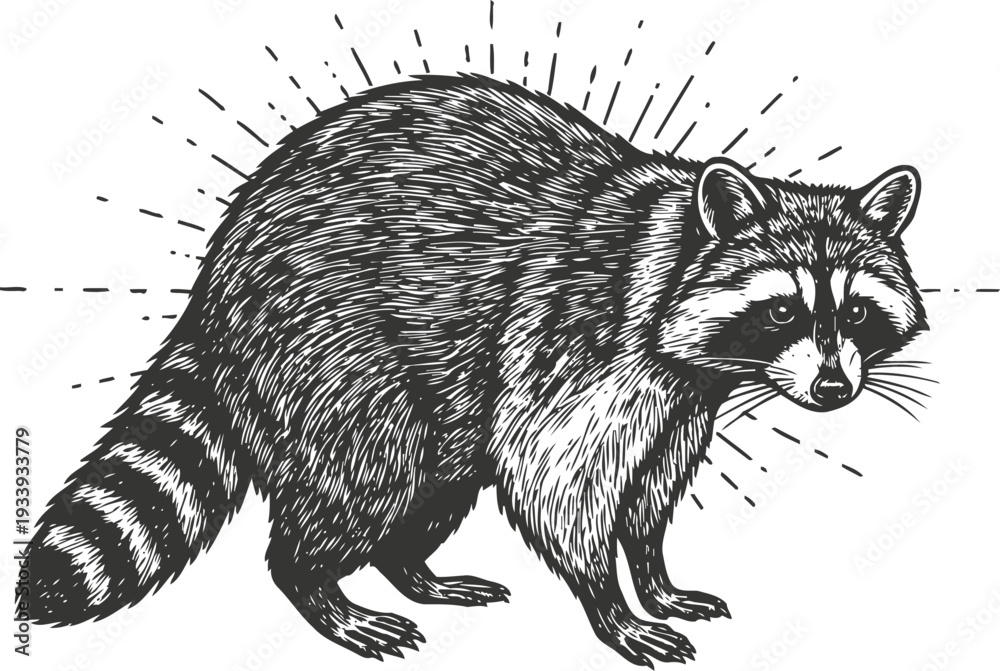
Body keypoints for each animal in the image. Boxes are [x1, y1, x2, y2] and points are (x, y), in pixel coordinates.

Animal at [27, 74, 926, 666]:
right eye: (781, 312)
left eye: (854, 312)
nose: (834, 388)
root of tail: (219, 267)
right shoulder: (580, 338)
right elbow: (555, 474)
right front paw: (608, 598)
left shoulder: (682, 397)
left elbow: (649, 485)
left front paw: (652, 569)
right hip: (333, 346)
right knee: (369, 474)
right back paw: (318, 584)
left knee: (436, 480)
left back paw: (411, 569)